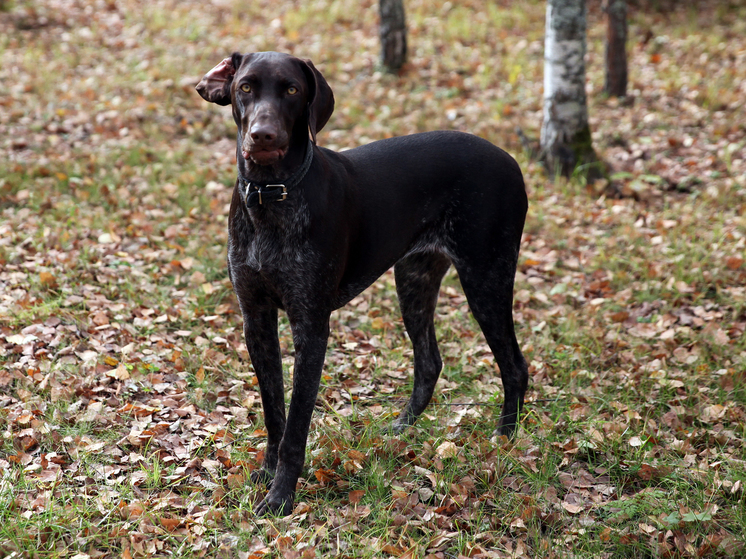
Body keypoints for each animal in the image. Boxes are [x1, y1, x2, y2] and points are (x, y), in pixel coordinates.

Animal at [195, 52, 528, 516]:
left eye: (292, 90)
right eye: (245, 87)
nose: (263, 135)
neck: (271, 194)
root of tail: (511, 161)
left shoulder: (311, 326)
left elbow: (296, 424)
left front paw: (281, 497)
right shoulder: (256, 318)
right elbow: (274, 412)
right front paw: (266, 473)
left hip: (486, 278)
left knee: (514, 365)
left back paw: (503, 440)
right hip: (415, 279)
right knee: (429, 362)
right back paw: (402, 428)